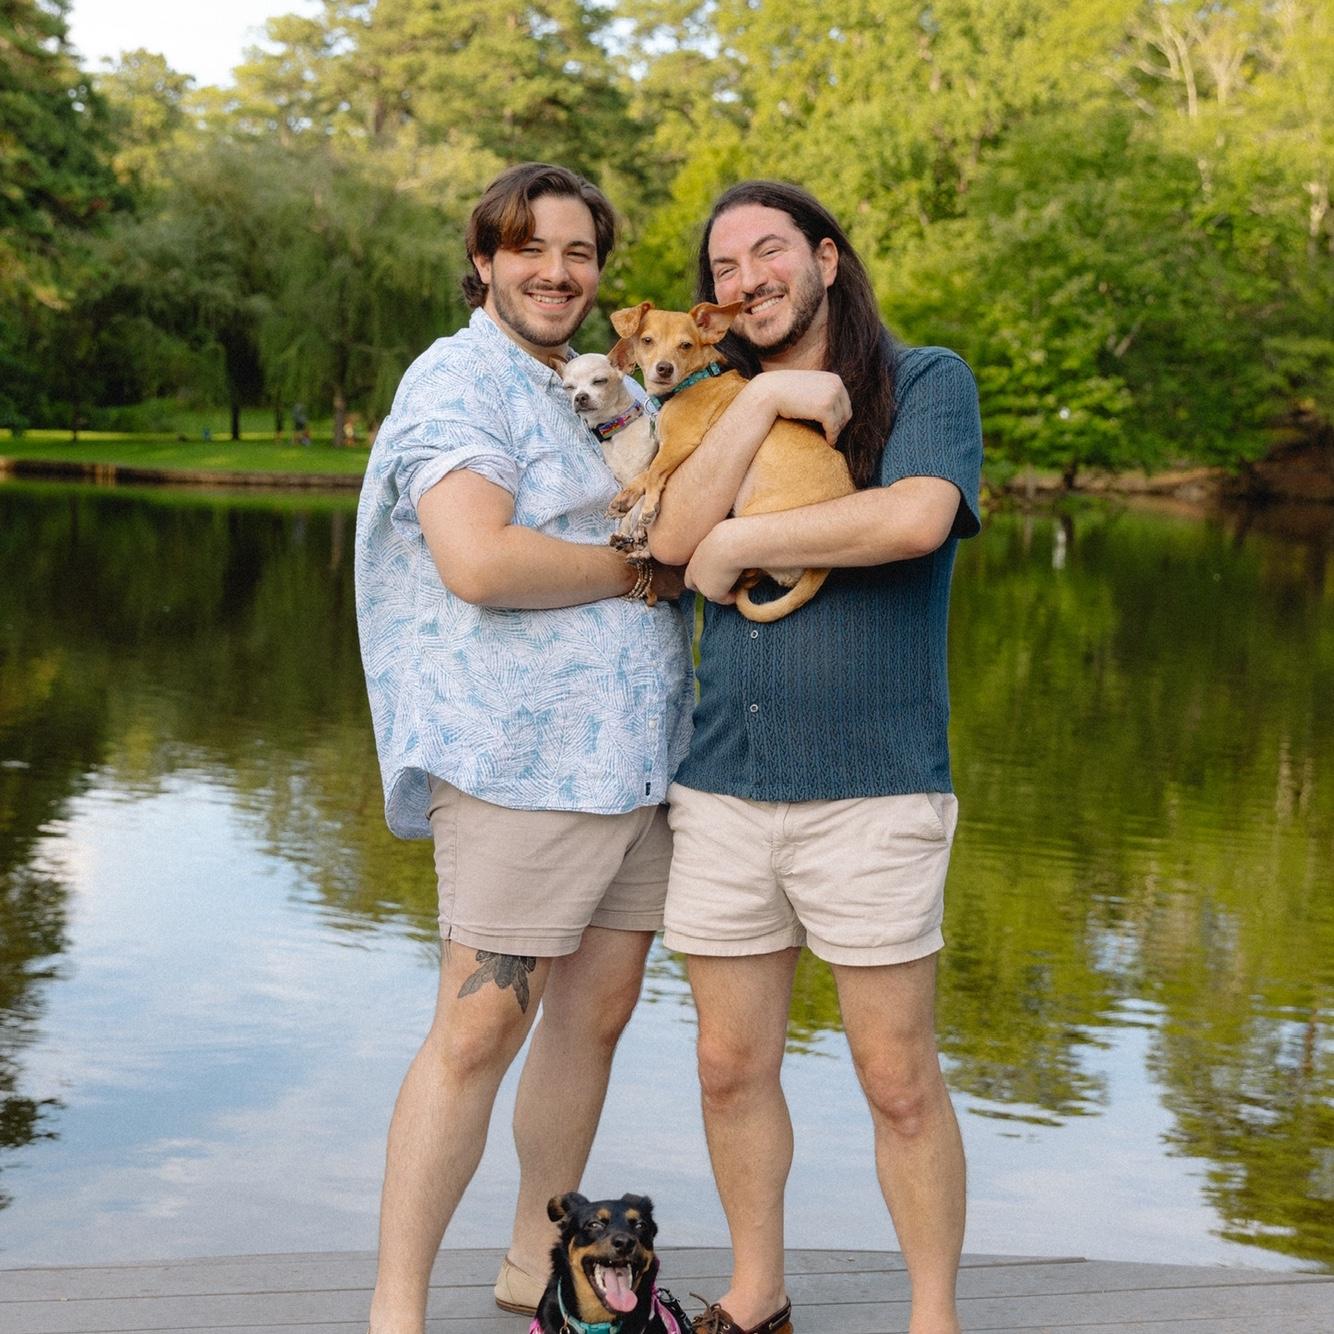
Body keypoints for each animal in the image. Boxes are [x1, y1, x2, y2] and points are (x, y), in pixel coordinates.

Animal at [607, 301, 855, 622]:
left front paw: (647, 509)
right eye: (647, 340)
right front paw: (625, 501)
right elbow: (645, 474)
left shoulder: (680, 443)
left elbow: (655, 472)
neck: (695, 379)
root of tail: (822, 569)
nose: (664, 368)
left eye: (685, 346)